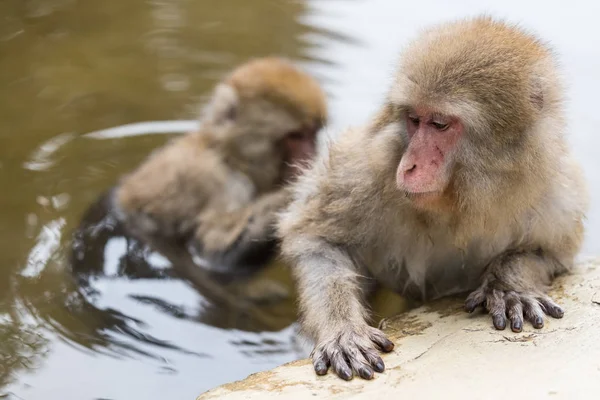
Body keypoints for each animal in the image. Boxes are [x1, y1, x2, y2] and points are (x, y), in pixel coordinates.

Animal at [276, 16, 592, 382]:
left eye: (440, 124)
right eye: (414, 119)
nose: (409, 165)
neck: (461, 199)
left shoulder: (556, 192)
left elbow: (549, 254)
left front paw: (509, 284)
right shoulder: (364, 169)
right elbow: (317, 240)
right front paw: (343, 331)